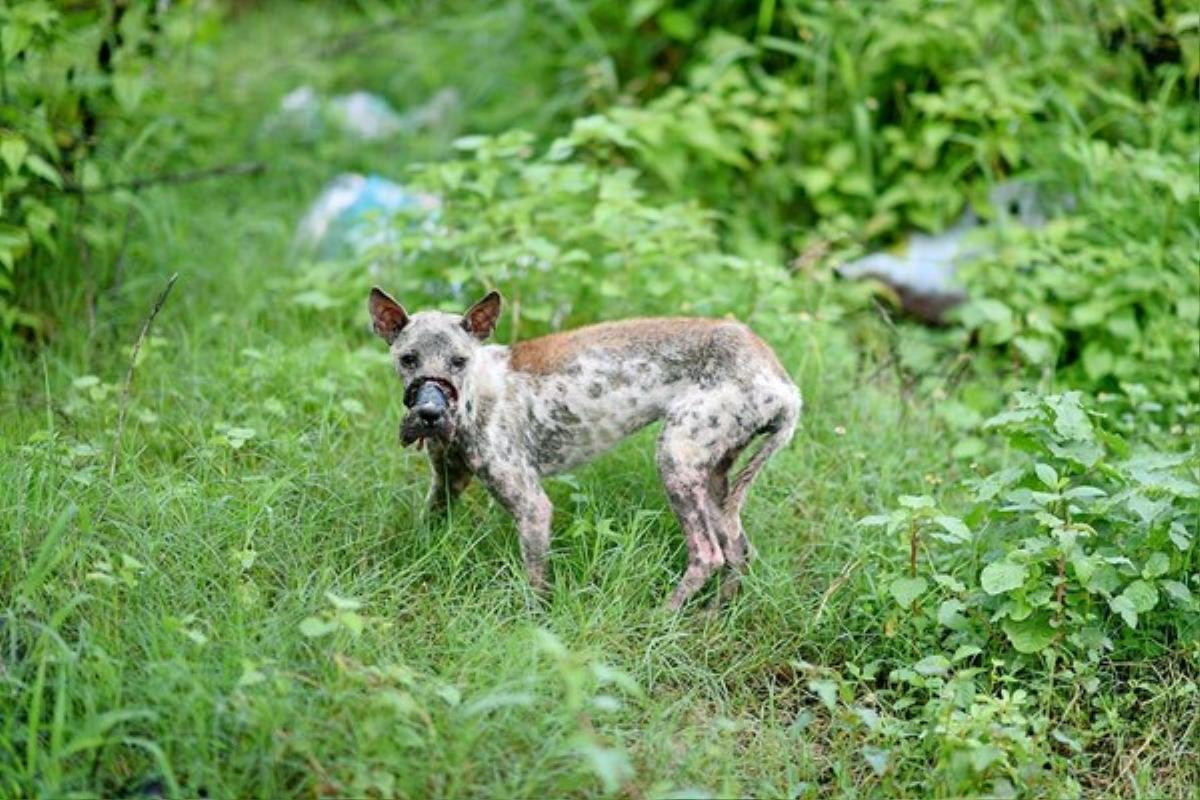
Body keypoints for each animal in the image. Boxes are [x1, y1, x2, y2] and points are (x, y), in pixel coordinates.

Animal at [364, 287, 796, 606]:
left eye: (459, 361)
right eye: (408, 359)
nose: (429, 413)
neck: (477, 394)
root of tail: (785, 387)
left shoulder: (533, 508)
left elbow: (535, 587)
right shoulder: (446, 485)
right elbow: (429, 529)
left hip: (677, 463)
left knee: (708, 556)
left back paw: (660, 619)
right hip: (712, 483)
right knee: (738, 552)